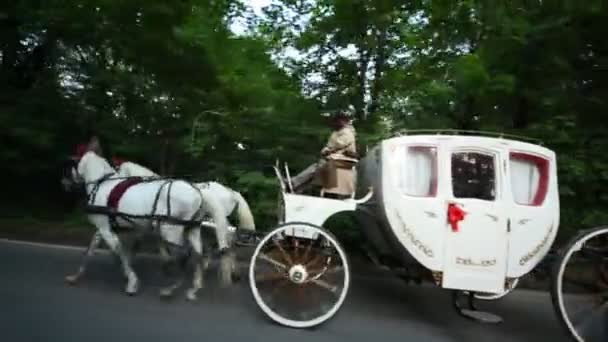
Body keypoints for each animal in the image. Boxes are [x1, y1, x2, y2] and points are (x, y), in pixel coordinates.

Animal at [63, 150, 227, 300]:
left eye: (71, 165)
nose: (64, 183)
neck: (102, 185)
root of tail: (198, 192)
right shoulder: (111, 228)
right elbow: (93, 250)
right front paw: (76, 276)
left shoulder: (106, 229)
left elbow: (120, 252)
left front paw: (131, 282)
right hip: (192, 228)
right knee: (198, 254)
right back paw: (194, 288)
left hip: (170, 230)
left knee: (183, 255)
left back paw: (170, 289)